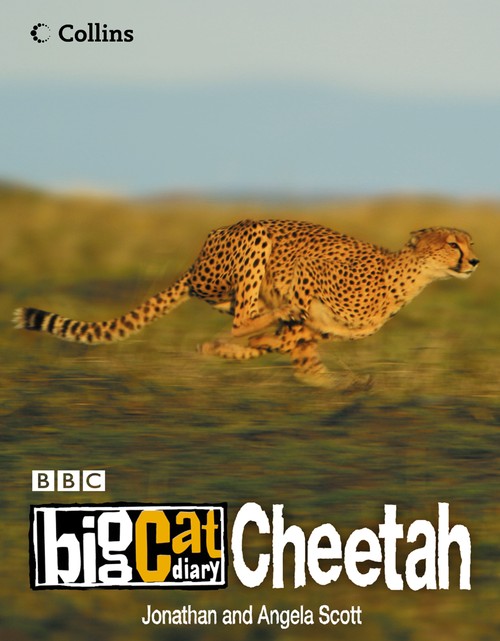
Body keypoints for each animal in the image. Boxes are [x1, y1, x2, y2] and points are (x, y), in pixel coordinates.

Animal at [13, 219, 479, 389]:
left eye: (470, 242)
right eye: (451, 243)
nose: (474, 261)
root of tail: (196, 260)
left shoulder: (320, 329)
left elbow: (298, 353)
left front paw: (337, 383)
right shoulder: (305, 275)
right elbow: (300, 352)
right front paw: (333, 384)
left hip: (227, 291)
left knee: (249, 327)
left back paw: (222, 345)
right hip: (254, 237)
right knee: (245, 321)